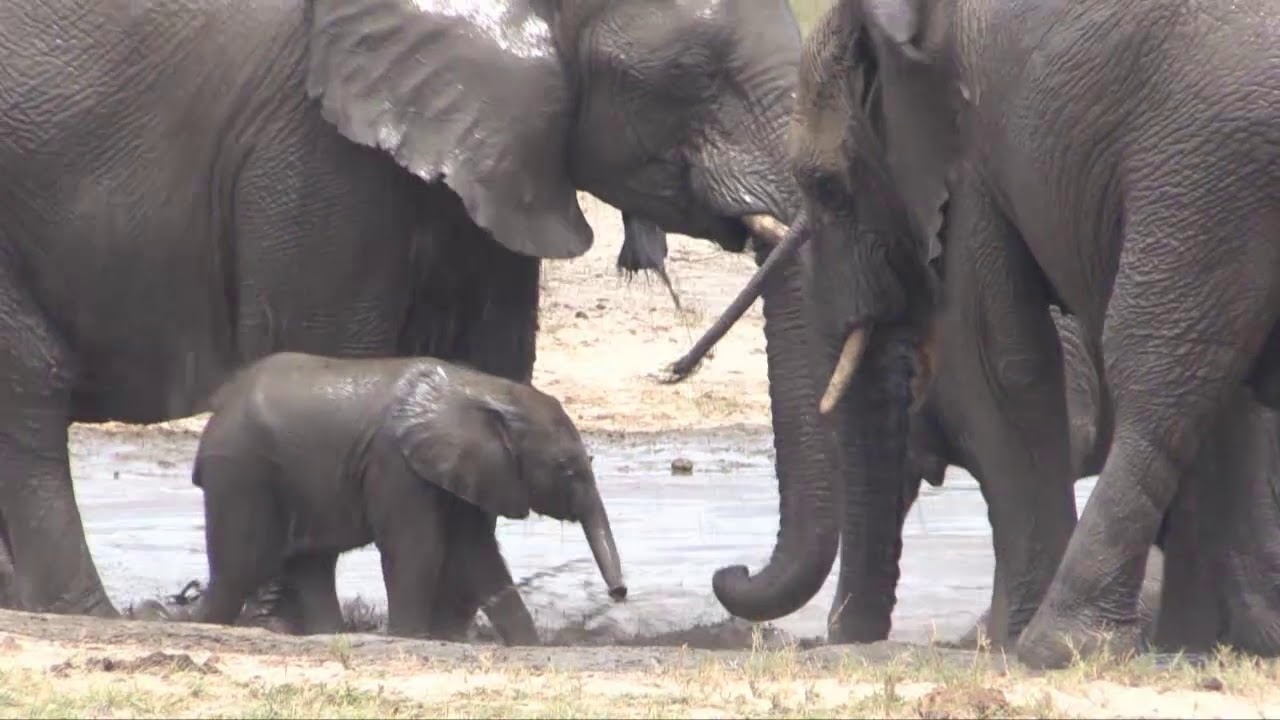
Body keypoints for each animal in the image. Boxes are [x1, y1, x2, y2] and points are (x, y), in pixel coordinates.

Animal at [191, 352, 626, 642]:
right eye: (567, 470)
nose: (619, 594)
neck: (482, 390)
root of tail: (218, 408)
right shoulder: (395, 463)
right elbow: (420, 549)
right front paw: (408, 638)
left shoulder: (458, 467)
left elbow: (478, 555)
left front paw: (527, 646)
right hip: (240, 470)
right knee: (238, 569)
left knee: (311, 563)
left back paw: (330, 635)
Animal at [767, 0, 1280, 668]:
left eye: (827, 188)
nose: (845, 639)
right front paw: (1218, 641)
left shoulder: (969, 156)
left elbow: (1000, 362)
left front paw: (1009, 640)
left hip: (1209, 167)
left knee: (1159, 369)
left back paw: (1058, 644)